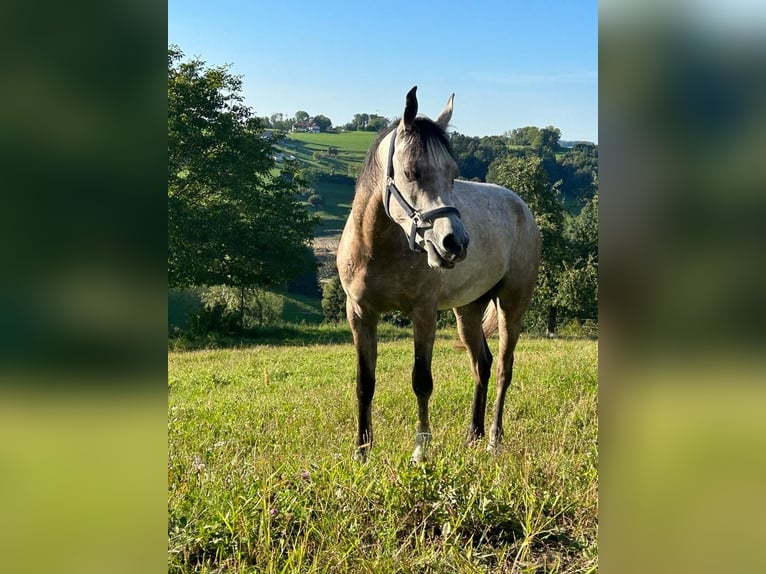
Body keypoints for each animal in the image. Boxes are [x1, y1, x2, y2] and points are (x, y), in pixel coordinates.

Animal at [340, 86, 544, 464]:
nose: (455, 242)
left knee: (503, 368)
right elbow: (365, 382)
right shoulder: (359, 313)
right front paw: (362, 452)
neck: (379, 246)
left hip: (512, 306)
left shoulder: (424, 314)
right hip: (468, 310)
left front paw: (421, 451)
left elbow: (422, 381)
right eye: (411, 172)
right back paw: (473, 435)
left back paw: (494, 440)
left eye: (452, 173)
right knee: (482, 363)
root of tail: (522, 207)